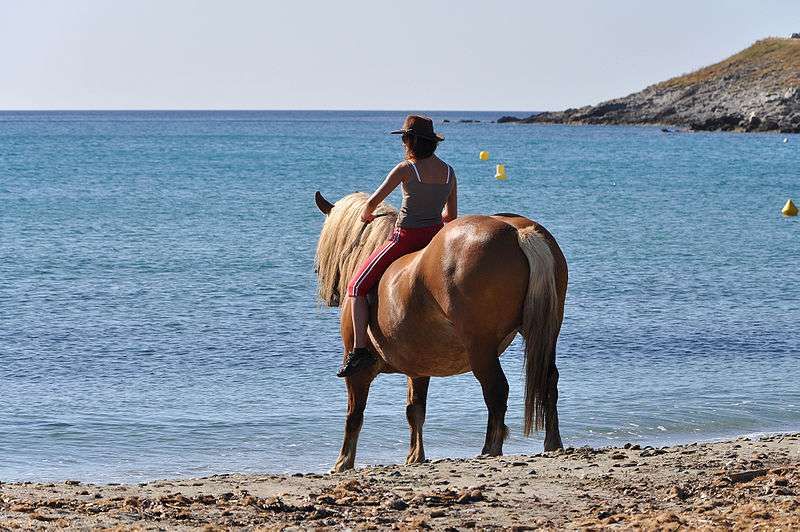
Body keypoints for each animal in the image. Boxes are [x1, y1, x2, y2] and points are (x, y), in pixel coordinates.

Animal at [314, 191, 568, 472]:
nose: (329, 294)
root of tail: (518, 232)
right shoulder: (419, 368)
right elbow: (415, 410)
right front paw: (415, 456)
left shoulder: (358, 372)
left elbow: (354, 414)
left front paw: (343, 461)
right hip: (546, 335)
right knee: (549, 381)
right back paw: (552, 442)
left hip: (481, 349)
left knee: (496, 390)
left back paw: (490, 447)